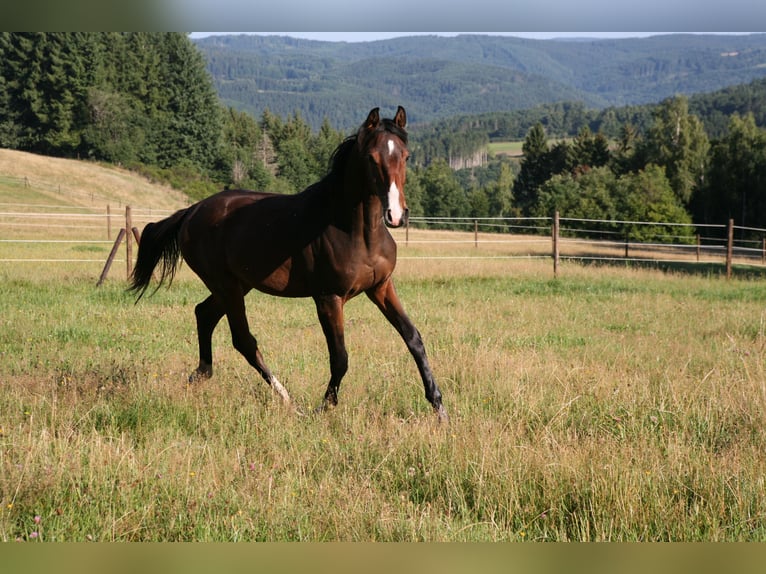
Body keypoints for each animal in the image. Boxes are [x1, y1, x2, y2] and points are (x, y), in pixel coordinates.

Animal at [129, 106, 448, 422]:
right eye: (372, 157)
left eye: (406, 156)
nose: (396, 215)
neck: (356, 232)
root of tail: (191, 211)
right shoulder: (328, 298)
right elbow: (340, 357)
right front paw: (323, 408)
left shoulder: (381, 287)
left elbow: (413, 338)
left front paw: (439, 407)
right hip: (227, 287)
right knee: (243, 340)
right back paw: (287, 400)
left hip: (236, 285)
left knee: (204, 314)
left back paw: (200, 375)